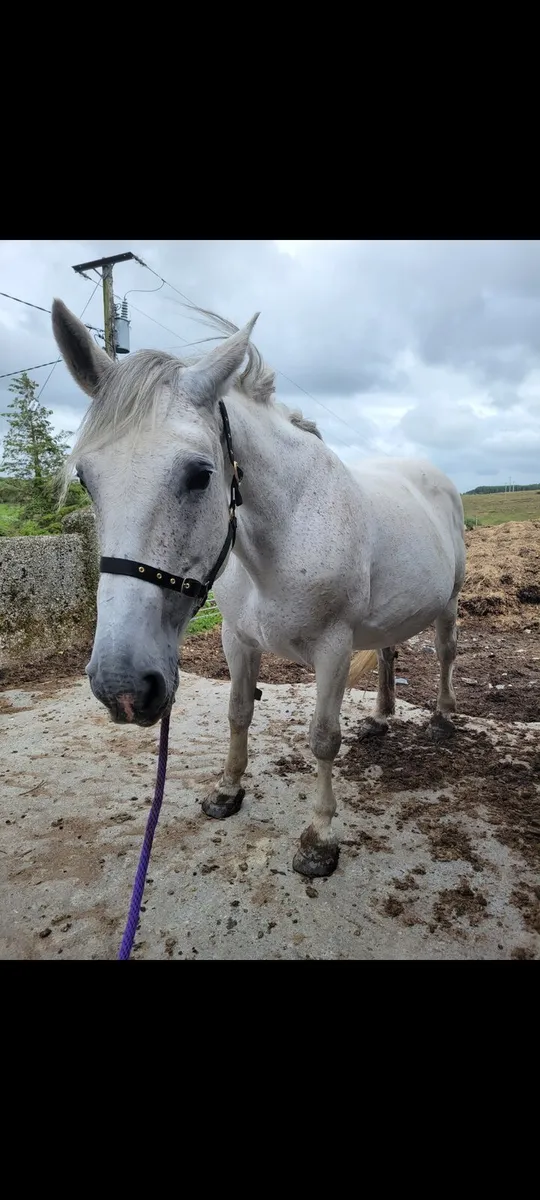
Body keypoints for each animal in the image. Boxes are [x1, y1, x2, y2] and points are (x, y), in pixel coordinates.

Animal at [52, 299, 466, 879]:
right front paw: (227, 790)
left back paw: (443, 719)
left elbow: (323, 737)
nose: (122, 686)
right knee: (388, 652)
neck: (286, 534)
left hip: (449, 602)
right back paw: (382, 719)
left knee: (446, 652)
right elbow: (238, 712)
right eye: (87, 479)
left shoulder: (333, 648)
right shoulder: (237, 639)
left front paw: (319, 838)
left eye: (200, 474)